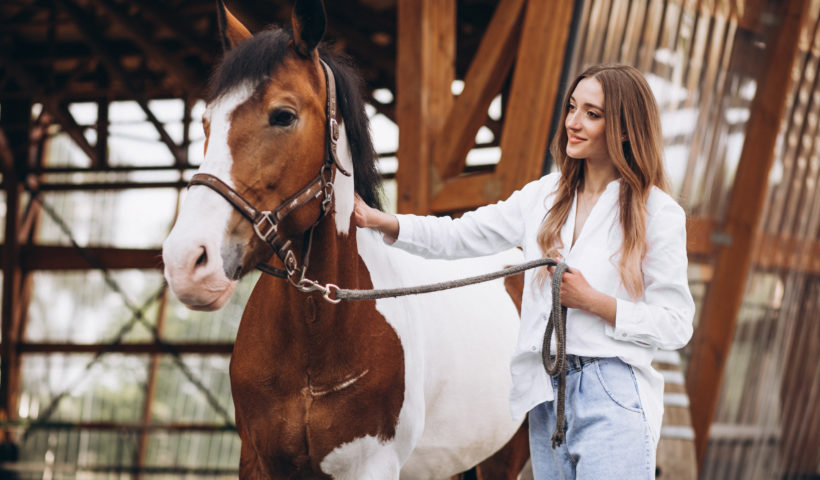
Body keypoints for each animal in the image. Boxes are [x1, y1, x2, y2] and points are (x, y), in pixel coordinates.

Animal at [163, 1, 528, 478]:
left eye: (283, 115)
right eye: (207, 121)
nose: (186, 261)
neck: (316, 334)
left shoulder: (371, 466)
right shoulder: (258, 460)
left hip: (507, 458)